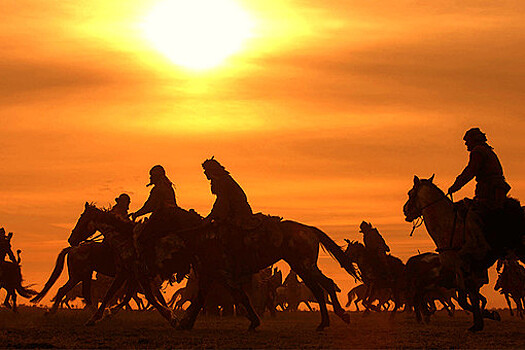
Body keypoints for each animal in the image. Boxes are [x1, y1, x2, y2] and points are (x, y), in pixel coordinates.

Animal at [69, 202, 358, 330]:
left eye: (82, 219)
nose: (72, 239)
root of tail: (307, 229)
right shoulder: (207, 272)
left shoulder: (138, 273)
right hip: (303, 265)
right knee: (324, 286)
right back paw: (334, 318)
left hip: (302, 265)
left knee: (321, 288)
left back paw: (331, 319)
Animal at [402, 176, 520, 332]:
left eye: (410, 193)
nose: (405, 210)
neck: (447, 225)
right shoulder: (465, 276)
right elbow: (470, 299)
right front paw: (483, 320)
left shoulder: (464, 272)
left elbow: (470, 300)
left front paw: (485, 318)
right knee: (418, 299)